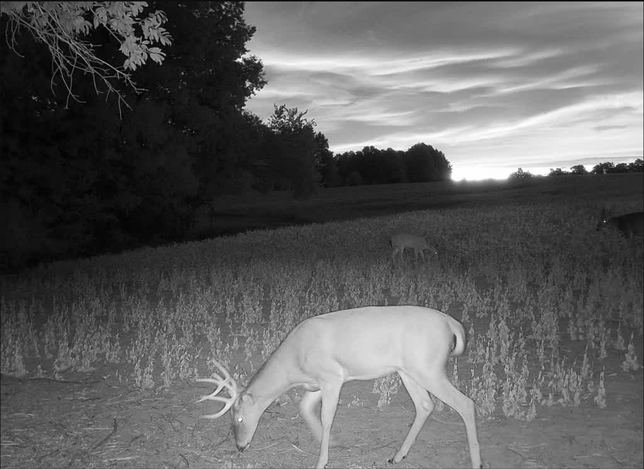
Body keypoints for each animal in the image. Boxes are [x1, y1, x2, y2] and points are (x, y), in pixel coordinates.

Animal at [196, 305, 482, 469]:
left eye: (239, 417)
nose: (240, 446)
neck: (294, 364)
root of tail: (452, 324)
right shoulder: (317, 384)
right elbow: (304, 408)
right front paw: (331, 443)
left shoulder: (332, 377)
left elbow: (327, 417)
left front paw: (321, 460)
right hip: (408, 371)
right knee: (425, 405)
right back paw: (396, 456)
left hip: (428, 368)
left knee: (466, 403)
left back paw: (476, 461)